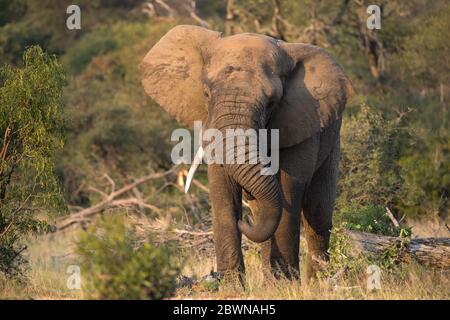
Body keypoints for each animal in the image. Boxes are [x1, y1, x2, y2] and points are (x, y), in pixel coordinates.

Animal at [139, 26, 354, 284]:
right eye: (206, 94)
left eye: (272, 102)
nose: (243, 223)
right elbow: (223, 189)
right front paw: (232, 284)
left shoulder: (302, 122)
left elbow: (289, 189)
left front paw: (286, 284)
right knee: (266, 209)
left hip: (333, 140)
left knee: (317, 211)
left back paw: (317, 282)